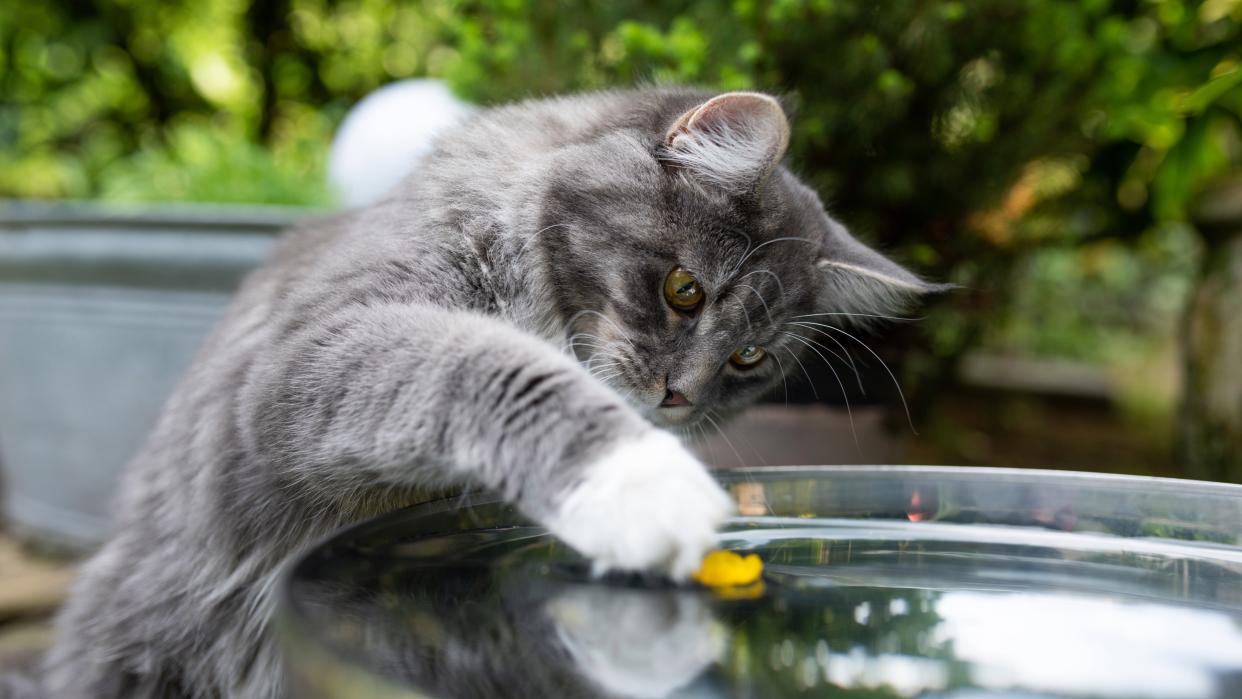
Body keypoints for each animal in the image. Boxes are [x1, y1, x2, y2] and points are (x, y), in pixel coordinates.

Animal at [19, 88, 933, 699]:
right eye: (684, 290)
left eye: (748, 357)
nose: (679, 398)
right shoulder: (314, 351)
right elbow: (483, 364)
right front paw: (639, 482)